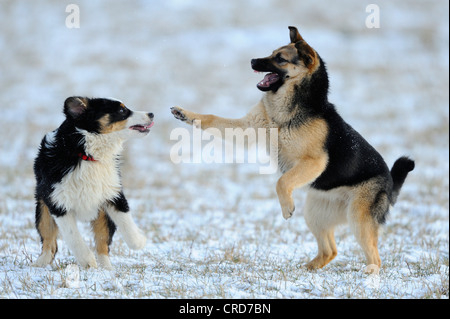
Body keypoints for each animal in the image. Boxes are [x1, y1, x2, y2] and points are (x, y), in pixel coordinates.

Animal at [32, 97, 154, 270]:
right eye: (121, 110)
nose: (151, 114)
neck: (87, 155)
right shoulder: (57, 202)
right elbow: (73, 237)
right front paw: (87, 261)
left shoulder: (112, 193)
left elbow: (126, 221)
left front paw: (139, 241)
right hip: (42, 207)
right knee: (48, 240)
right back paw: (40, 262)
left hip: (102, 215)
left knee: (102, 244)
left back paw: (107, 269)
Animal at [171, 27, 414, 272]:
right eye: (272, 53)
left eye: (280, 58)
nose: (252, 60)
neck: (286, 111)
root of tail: (390, 182)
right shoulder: (248, 128)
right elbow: (211, 118)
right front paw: (184, 113)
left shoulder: (314, 162)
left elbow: (282, 181)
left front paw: (286, 207)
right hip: (316, 213)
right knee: (330, 251)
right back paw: (306, 269)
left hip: (358, 218)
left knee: (374, 257)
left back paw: (369, 275)